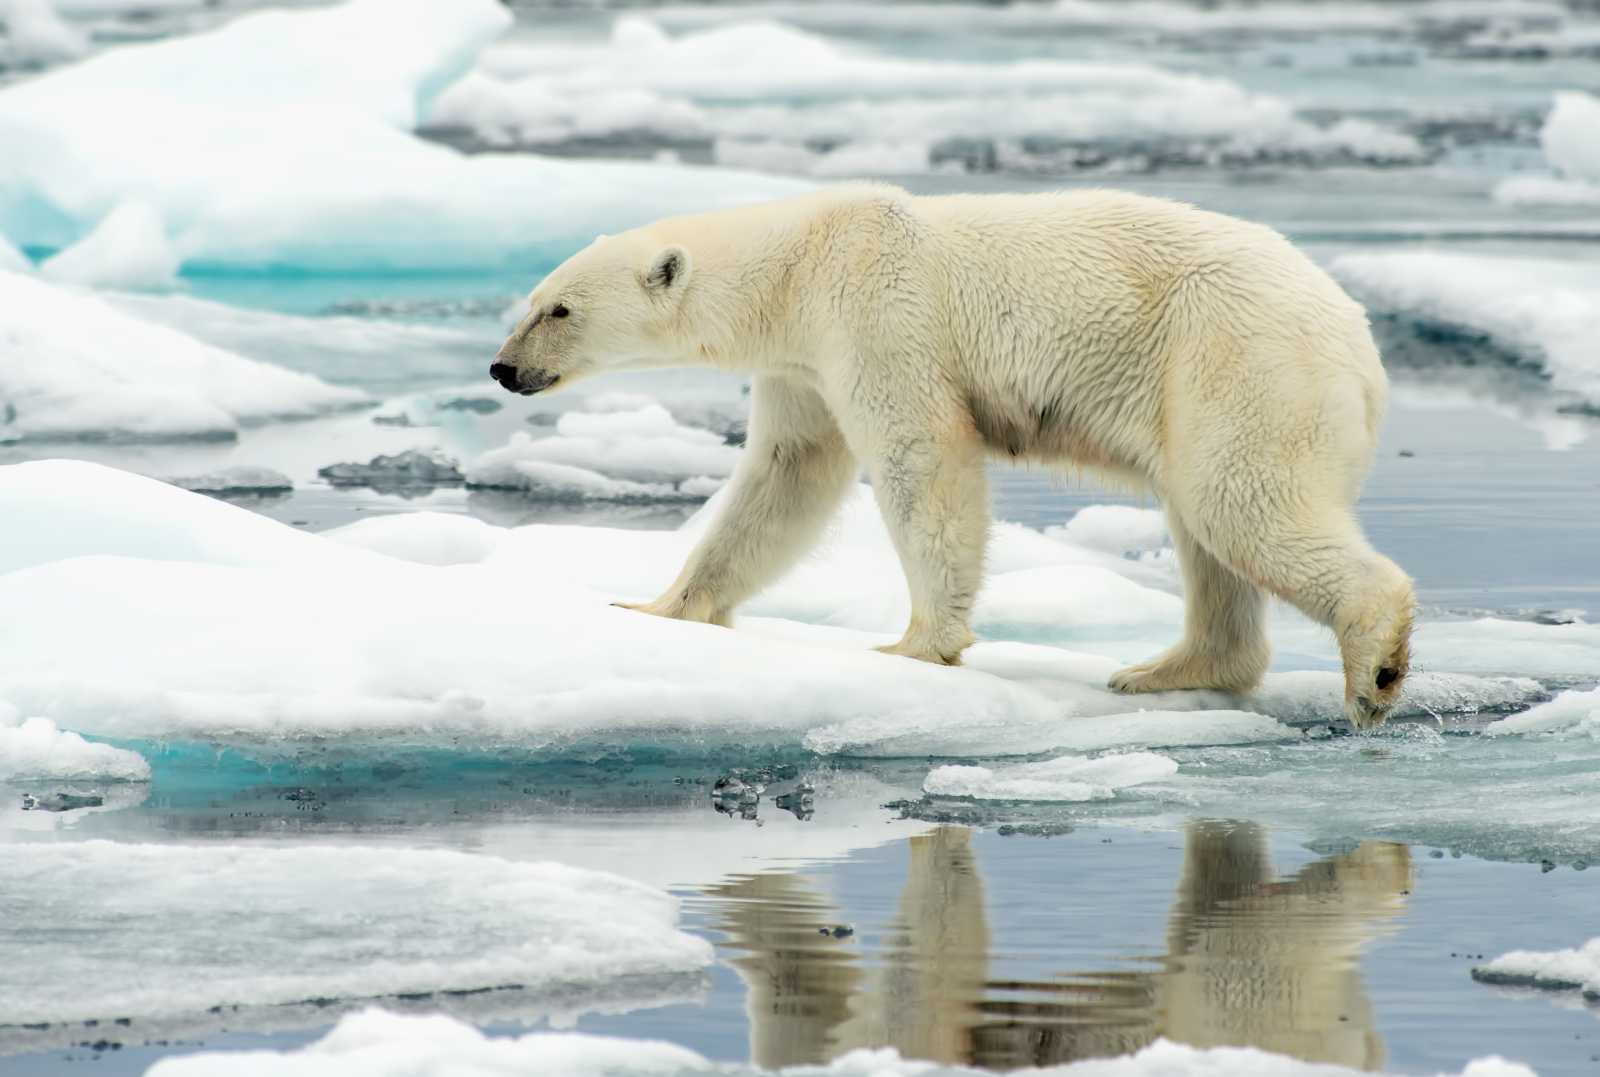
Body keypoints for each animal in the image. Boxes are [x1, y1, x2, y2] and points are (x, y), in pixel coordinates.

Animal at [486, 184, 1414, 726]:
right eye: (530, 301)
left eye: (558, 309)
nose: (503, 369)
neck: (800, 257)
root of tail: (1361, 345)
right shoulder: (801, 362)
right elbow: (789, 473)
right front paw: (661, 606)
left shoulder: (874, 309)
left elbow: (920, 456)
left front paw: (916, 644)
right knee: (1206, 524)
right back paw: (1166, 668)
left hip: (1239, 358)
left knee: (1241, 500)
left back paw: (1375, 665)